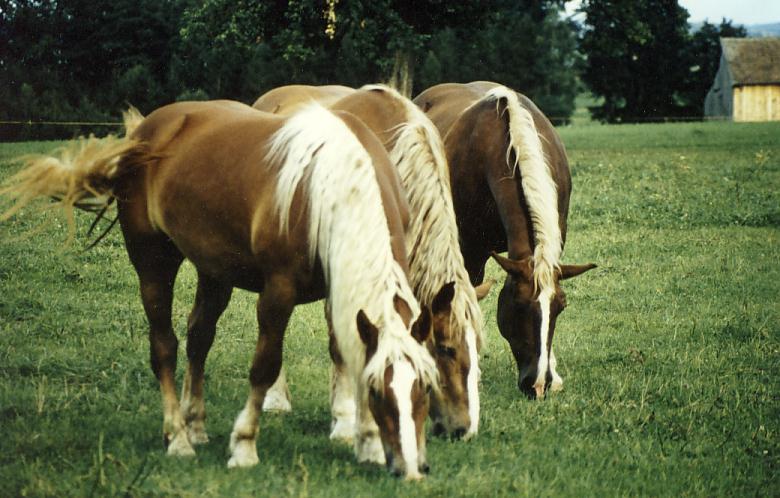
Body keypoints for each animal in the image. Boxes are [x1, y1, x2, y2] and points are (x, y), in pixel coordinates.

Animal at [0, 100, 438, 479]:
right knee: (164, 346)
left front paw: (366, 443)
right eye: (379, 393)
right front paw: (244, 446)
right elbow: (265, 367)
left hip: (214, 272)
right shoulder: (277, 294)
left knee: (199, 337)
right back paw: (177, 437)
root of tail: (143, 134)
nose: (412, 469)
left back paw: (194, 425)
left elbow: (347, 349)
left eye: (425, 390)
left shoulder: (339, 290)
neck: (329, 187)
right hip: (153, 263)